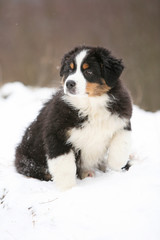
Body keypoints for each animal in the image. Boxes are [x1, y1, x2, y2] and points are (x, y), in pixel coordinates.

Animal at [15, 46, 132, 190]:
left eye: (88, 71)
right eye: (69, 70)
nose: (69, 83)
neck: (90, 104)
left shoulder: (122, 120)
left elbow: (120, 146)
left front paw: (116, 168)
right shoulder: (56, 135)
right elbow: (65, 167)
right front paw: (69, 189)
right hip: (30, 162)